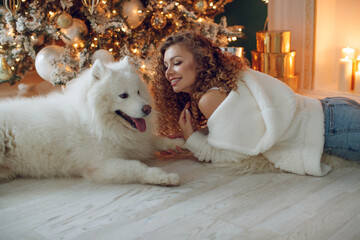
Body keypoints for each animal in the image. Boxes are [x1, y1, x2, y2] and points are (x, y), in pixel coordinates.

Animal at [0, 57, 184, 186]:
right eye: (123, 95)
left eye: (138, 92)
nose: (147, 109)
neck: (95, 122)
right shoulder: (101, 165)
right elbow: (138, 167)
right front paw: (165, 177)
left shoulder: (136, 140)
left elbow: (158, 140)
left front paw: (180, 142)